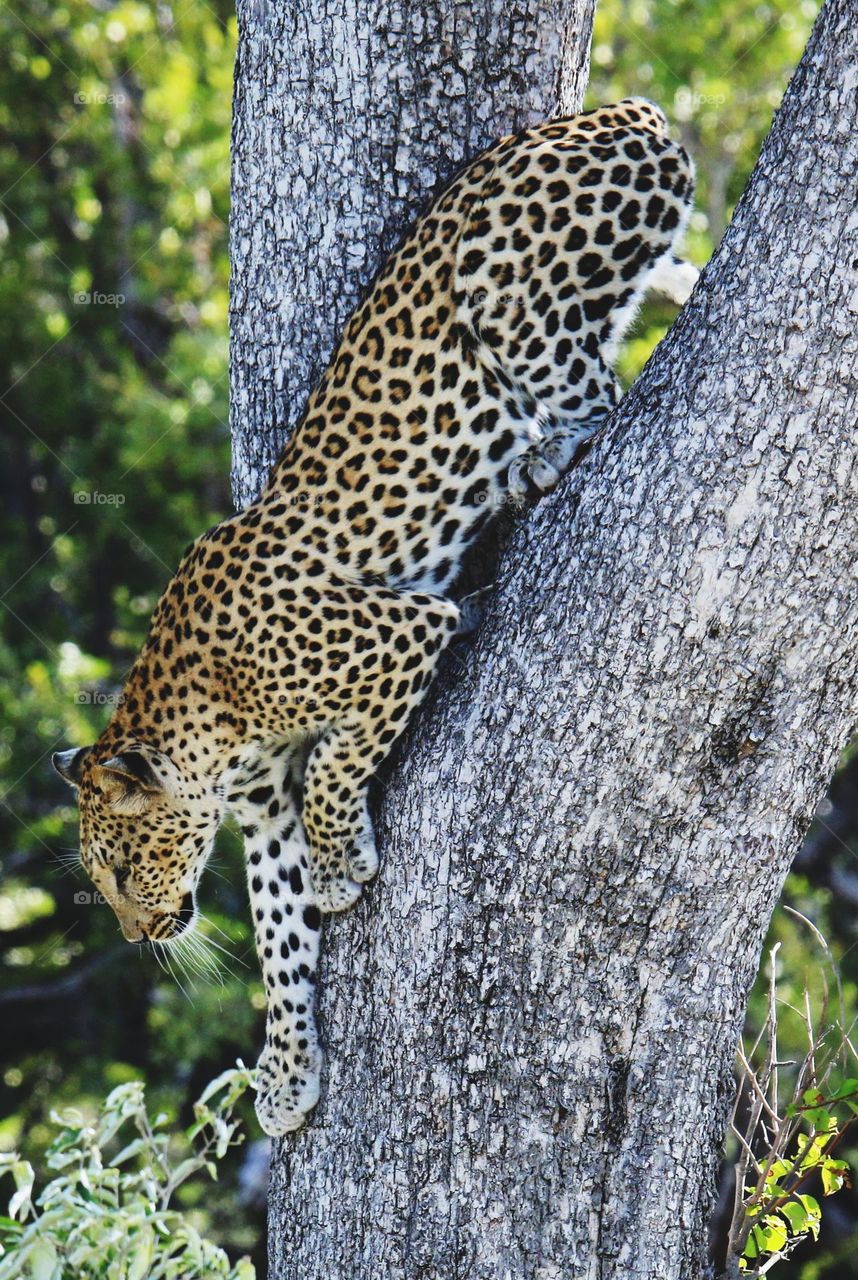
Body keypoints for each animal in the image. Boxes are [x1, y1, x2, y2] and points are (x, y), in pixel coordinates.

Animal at [52, 98, 697, 1136]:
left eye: (116, 867)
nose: (142, 931)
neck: (204, 725)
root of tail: (615, 110)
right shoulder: (260, 807)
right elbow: (277, 931)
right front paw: (284, 1072)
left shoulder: (401, 635)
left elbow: (335, 768)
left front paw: (341, 861)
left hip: (503, 289)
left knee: (602, 391)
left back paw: (537, 462)